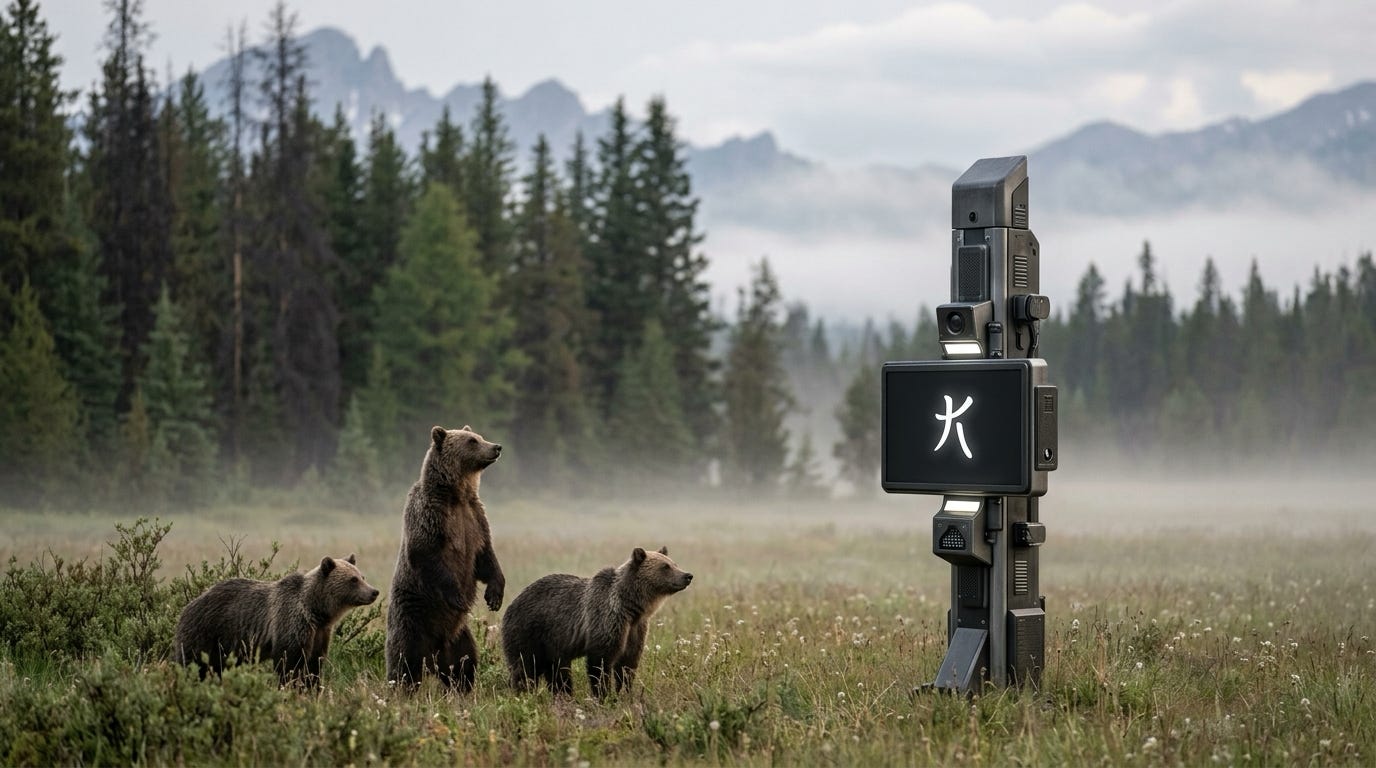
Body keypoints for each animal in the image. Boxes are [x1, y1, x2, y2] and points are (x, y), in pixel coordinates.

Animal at [173, 554, 379, 687]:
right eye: (353, 580)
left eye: (362, 576)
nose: (374, 592)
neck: (316, 610)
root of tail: (185, 607)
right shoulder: (291, 622)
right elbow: (289, 664)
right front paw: (291, 688)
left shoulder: (320, 633)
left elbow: (314, 665)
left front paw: (312, 688)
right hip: (206, 633)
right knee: (192, 664)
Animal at [385, 424, 506, 691]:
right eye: (472, 441)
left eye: (479, 437)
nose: (496, 447)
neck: (455, 495)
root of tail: (433, 656)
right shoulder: (430, 515)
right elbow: (426, 554)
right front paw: (458, 597)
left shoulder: (475, 518)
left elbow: (486, 556)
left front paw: (494, 596)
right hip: (411, 622)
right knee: (404, 664)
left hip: (460, 636)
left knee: (465, 664)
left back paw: (462, 688)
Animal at [501, 546, 693, 698]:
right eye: (665, 566)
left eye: (674, 563)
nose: (688, 575)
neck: (630, 607)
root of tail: (511, 603)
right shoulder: (607, 619)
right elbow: (600, 662)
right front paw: (603, 695)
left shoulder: (635, 629)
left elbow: (628, 664)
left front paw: (625, 692)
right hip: (529, 631)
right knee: (525, 667)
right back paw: (522, 693)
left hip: (552, 644)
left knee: (557, 672)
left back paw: (562, 695)